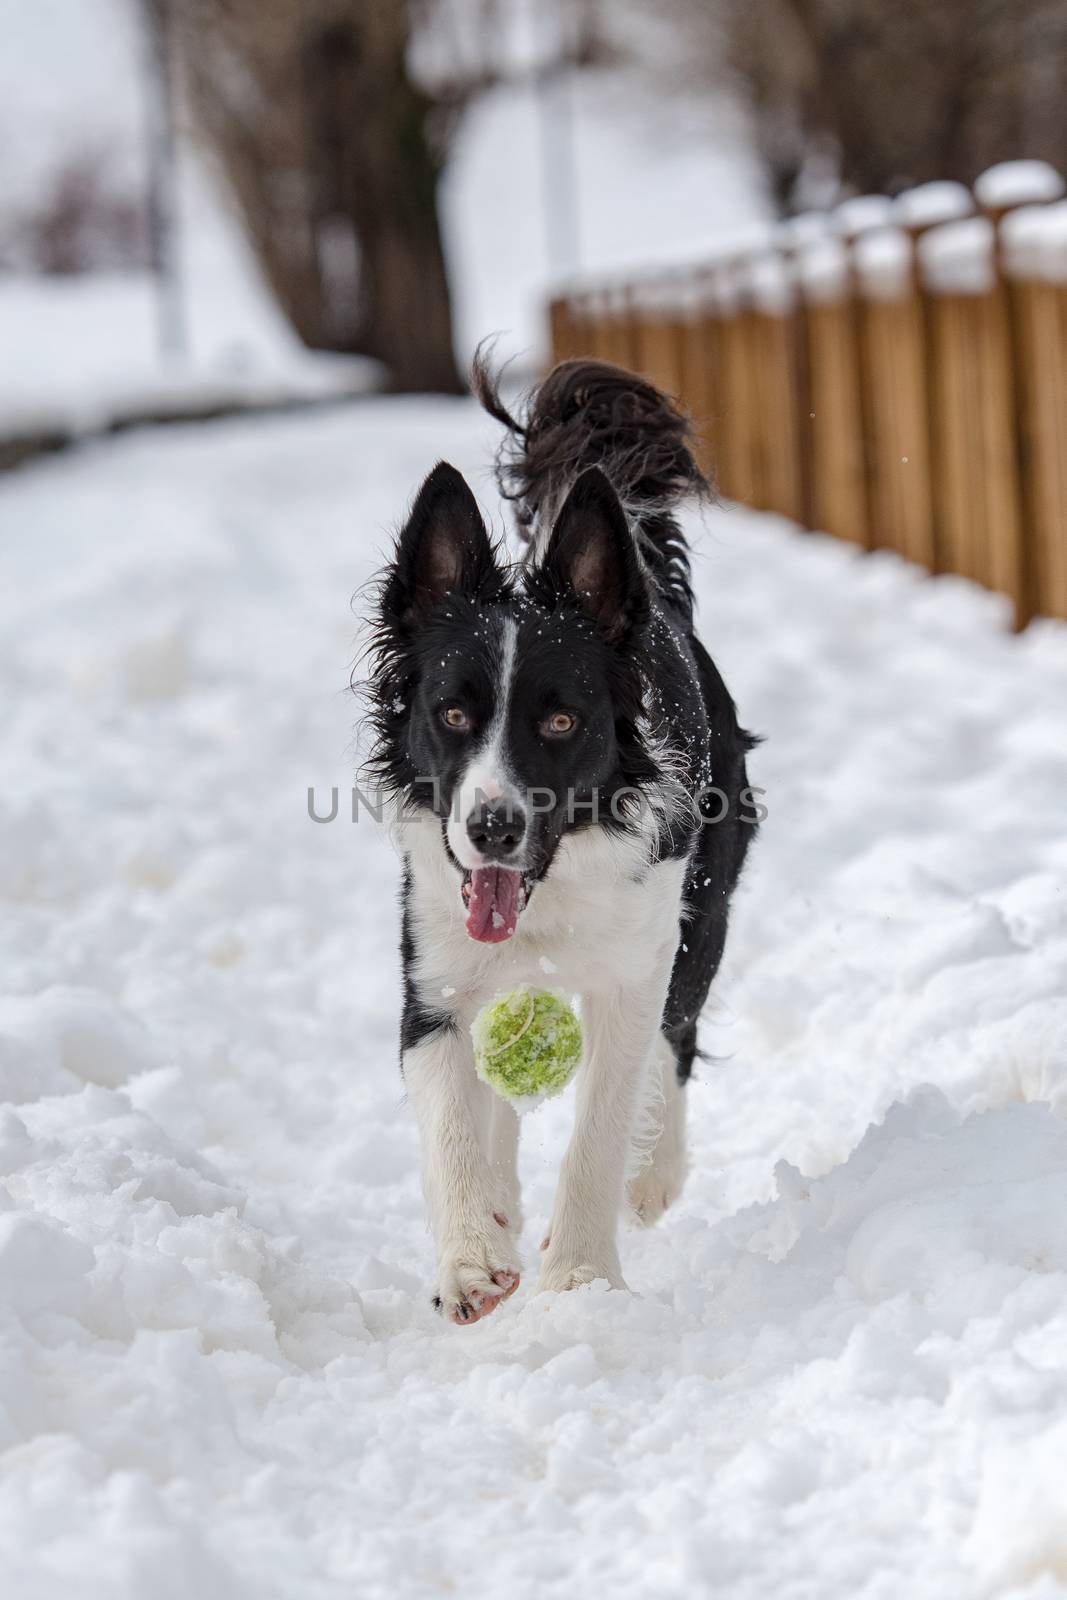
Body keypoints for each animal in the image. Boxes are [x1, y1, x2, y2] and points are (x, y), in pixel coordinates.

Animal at [371, 360, 755, 1324]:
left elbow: (605, 1120)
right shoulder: (433, 969)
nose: (492, 826)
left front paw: (580, 1276)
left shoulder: (634, 966)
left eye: (559, 720)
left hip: (705, 904)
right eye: (452, 714)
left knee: (679, 1033)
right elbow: (450, 1118)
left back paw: (653, 1175)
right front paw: (472, 1261)